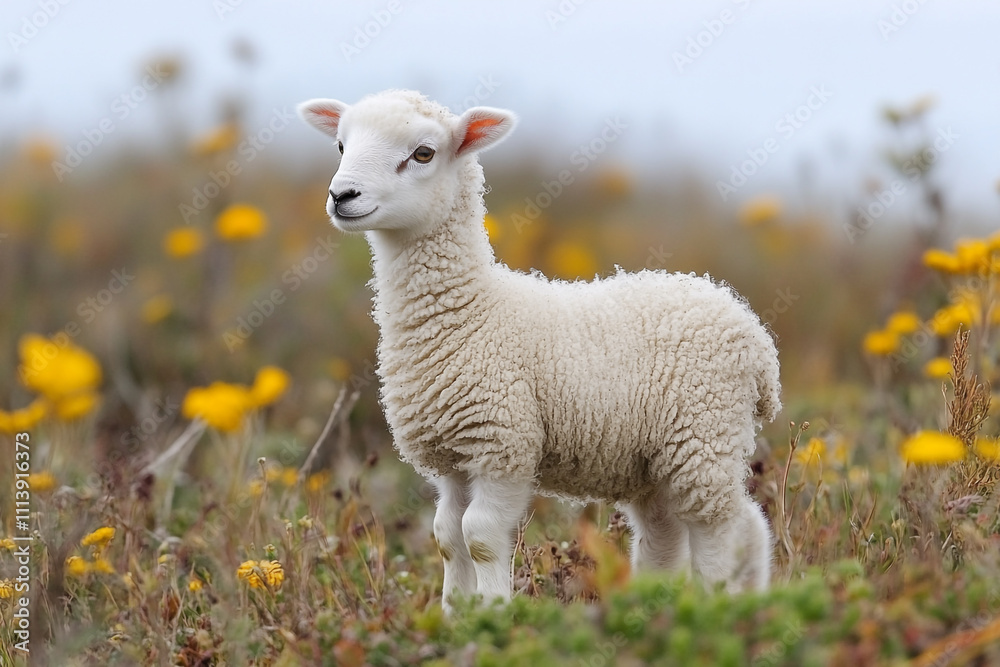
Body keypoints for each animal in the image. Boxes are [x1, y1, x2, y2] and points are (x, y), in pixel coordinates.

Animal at [298, 89, 781, 612]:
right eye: (341, 145)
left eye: (423, 153)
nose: (341, 196)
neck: (469, 313)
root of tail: (756, 340)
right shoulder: (451, 457)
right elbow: (447, 536)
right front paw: (454, 615)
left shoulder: (504, 442)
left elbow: (480, 536)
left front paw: (494, 613)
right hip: (658, 461)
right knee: (672, 536)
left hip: (704, 436)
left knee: (724, 530)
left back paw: (720, 605)